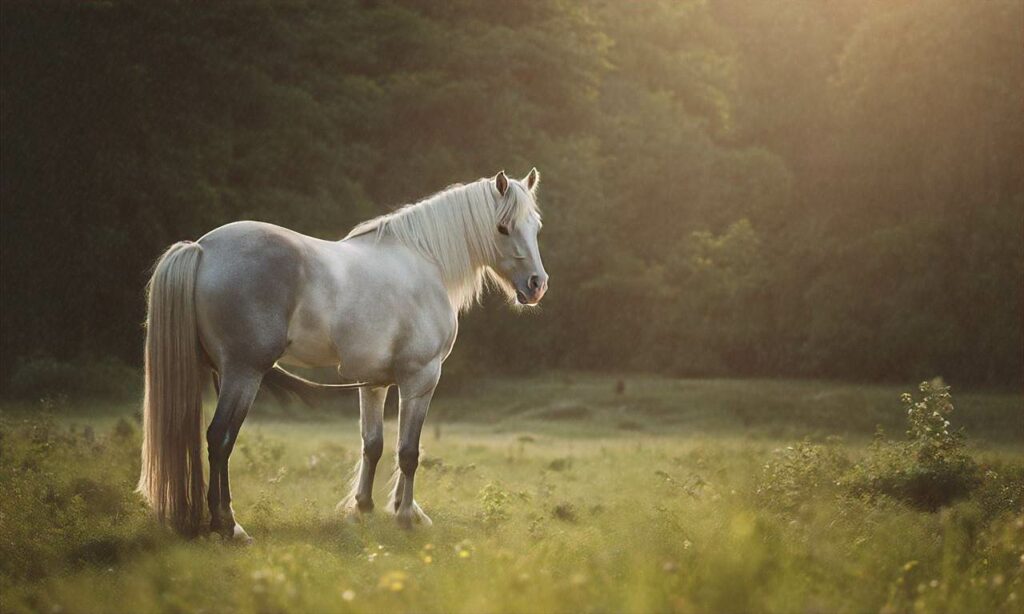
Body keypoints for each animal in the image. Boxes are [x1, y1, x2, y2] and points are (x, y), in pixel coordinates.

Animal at [142, 169, 552, 540]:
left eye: (535, 226)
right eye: (503, 228)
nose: (536, 286)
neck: (426, 262)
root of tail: (202, 248)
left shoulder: (374, 382)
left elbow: (373, 445)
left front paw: (364, 509)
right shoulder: (420, 378)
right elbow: (408, 451)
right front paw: (405, 516)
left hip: (223, 373)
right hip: (244, 373)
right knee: (220, 439)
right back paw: (229, 526)